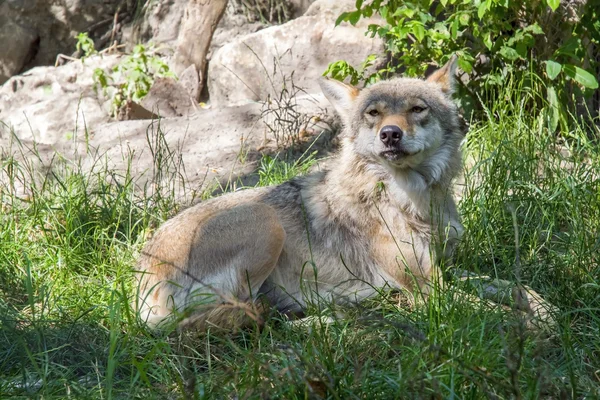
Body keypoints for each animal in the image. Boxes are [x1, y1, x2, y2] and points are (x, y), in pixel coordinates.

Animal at [137, 57, 468, 332]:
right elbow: (473, 304)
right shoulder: (426, 284)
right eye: (374, 113)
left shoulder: (445, 262)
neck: (411, 199)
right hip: (265, 220)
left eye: (417, 109)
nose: (389, 134)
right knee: (246, 317)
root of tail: (143, 277)